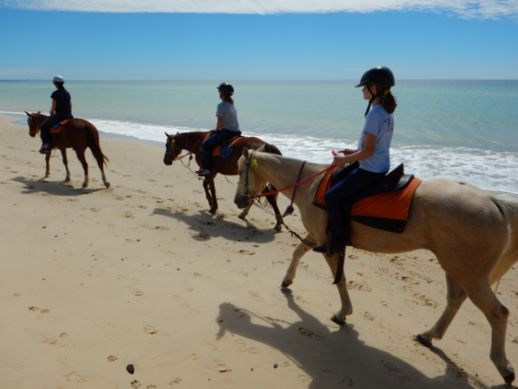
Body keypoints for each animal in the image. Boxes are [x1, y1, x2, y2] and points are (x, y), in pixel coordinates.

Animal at [235, 149, 518, 384]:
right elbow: (298, 252)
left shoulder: (329, 244)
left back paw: (503, 367)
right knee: (455, 299)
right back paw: (429, 335)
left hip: (470, 273)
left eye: (240, 171)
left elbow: (339, 278)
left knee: (497, 313)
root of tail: (494, 201)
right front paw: (287, 280)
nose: (238, 201)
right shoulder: (316, 237)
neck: (310, 184)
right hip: (455, 266)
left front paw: (343, 313)